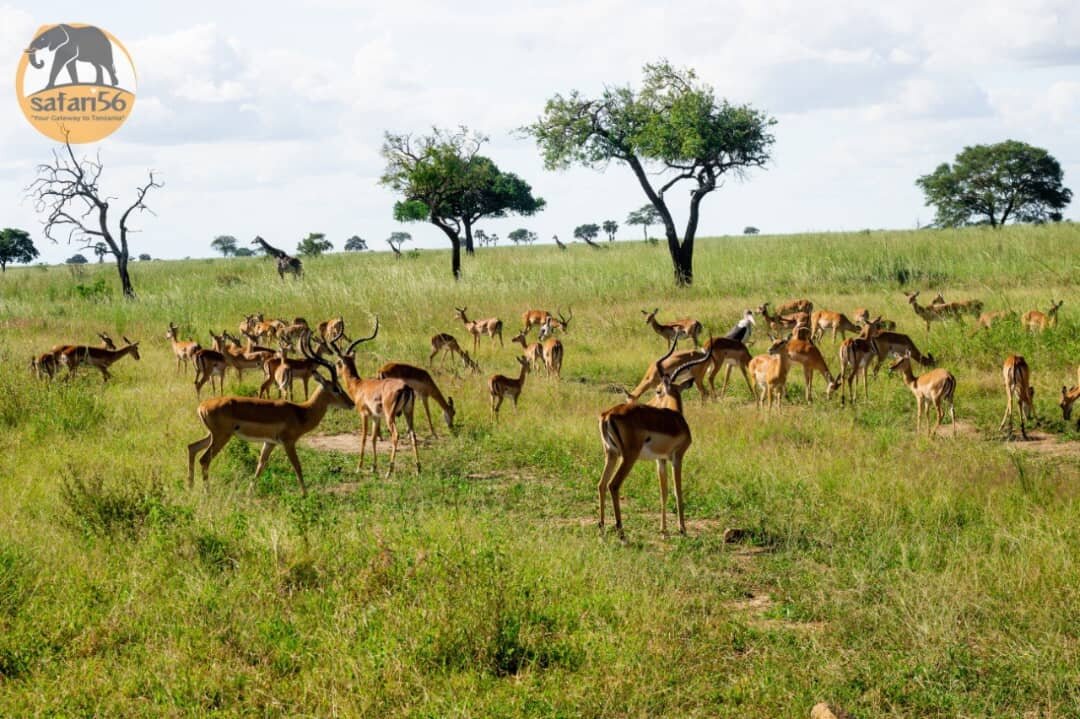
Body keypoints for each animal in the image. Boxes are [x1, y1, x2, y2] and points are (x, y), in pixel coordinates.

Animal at [187, 335, 353, 494]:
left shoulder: (269, 443)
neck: (301, 412)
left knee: (192, 447)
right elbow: (297, 466)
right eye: (336, 388)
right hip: (221, 436)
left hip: (212, 435)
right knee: (204, 459)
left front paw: (249, 493)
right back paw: (206, 492)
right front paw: (305, 495)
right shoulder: (288, 442)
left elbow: (260, 465)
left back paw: (191, 486)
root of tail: (201, 406)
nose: (351, 403)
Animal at [597, 337, 712, 538]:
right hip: (628, 457)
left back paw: (602, 527)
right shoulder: (677, 457)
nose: (650, 402)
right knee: (613, 485)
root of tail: (607, 415)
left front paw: (663, 530)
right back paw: (621, 532)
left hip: (611, 454)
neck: (676, 418)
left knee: (601, 484)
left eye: (658, 390)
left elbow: (663, 492)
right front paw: (682, 529)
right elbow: (677, 491)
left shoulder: (660, 460)